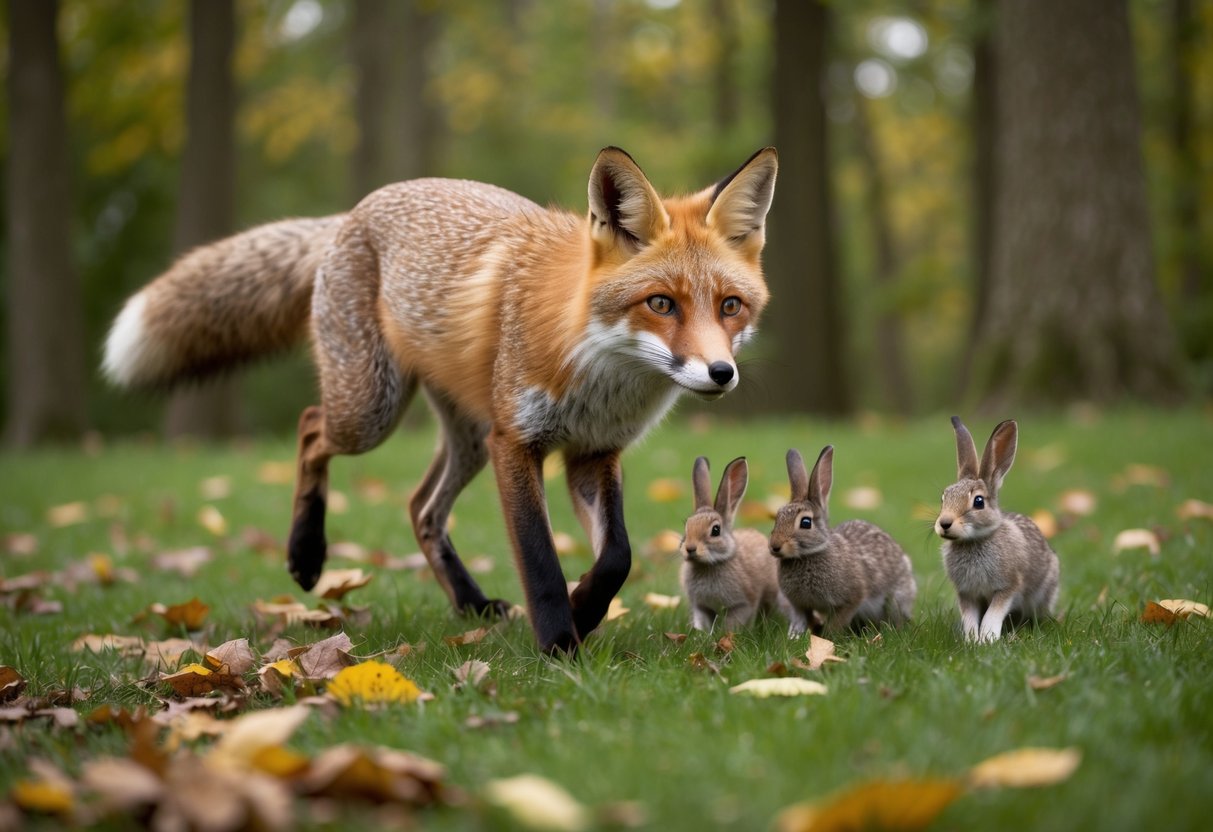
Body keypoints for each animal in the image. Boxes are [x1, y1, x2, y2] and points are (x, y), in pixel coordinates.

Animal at [102, 146, 778, 653]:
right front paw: (559, 642)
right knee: (311, 428)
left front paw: (585, 610)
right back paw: (307, 553)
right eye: (661, 303)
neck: (598, 370)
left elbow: (617, 557)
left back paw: (471, 603)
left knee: (420, 507)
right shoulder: (517, 443)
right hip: (373, 411)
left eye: (730, 306)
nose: (720, 373)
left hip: (468, 436)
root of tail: (353, 212)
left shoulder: (593, 453)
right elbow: (540, 559)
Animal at [680, 456, 792, 632]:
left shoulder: (742, 604)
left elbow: (732, 623)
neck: (708, 564)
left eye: (716, 530)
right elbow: (703, 620)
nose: (690, 548)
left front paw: (727, 635)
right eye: (687, 527)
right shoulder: (701, 606)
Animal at [769, 446, 916, 638]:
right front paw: (797, 636)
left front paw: (827, 637)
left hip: (896, 598)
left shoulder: (852, 597)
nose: (774, 546)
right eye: (777, 518)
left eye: (806, 523)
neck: (808, 555)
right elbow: (803, 619)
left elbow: (838, 621)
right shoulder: (800, 605)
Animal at [937, 417, 1060, 642]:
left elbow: (993, 614)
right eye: (944, 498)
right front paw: (972, 640)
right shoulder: (966, 593)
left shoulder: (1008, 586)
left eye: (978, 502)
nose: (944, 523)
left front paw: (987, 639)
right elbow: (970, 617)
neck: (974, 541)